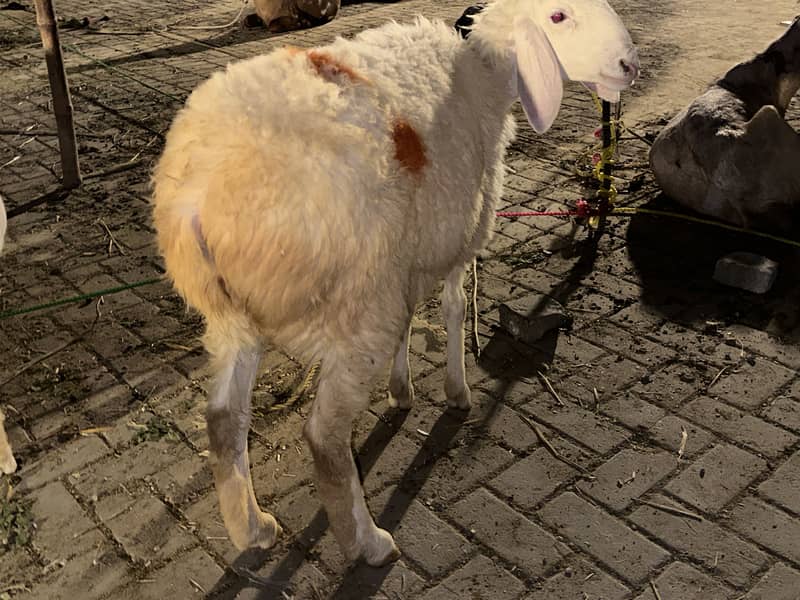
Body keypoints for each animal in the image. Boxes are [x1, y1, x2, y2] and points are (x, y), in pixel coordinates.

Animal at [152, 0, 638, 566]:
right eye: (559, 17)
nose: (630, 65)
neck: (483, 73)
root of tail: (201, 190)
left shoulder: (408, 254)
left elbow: (411, 319)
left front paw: (401, 389)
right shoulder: (459, 233)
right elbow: (453, 308)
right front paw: (456, 390)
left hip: (235, 314)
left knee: (224, 419)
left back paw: (251, 528)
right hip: (357, 304)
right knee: (324, 435)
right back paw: (367, 541)